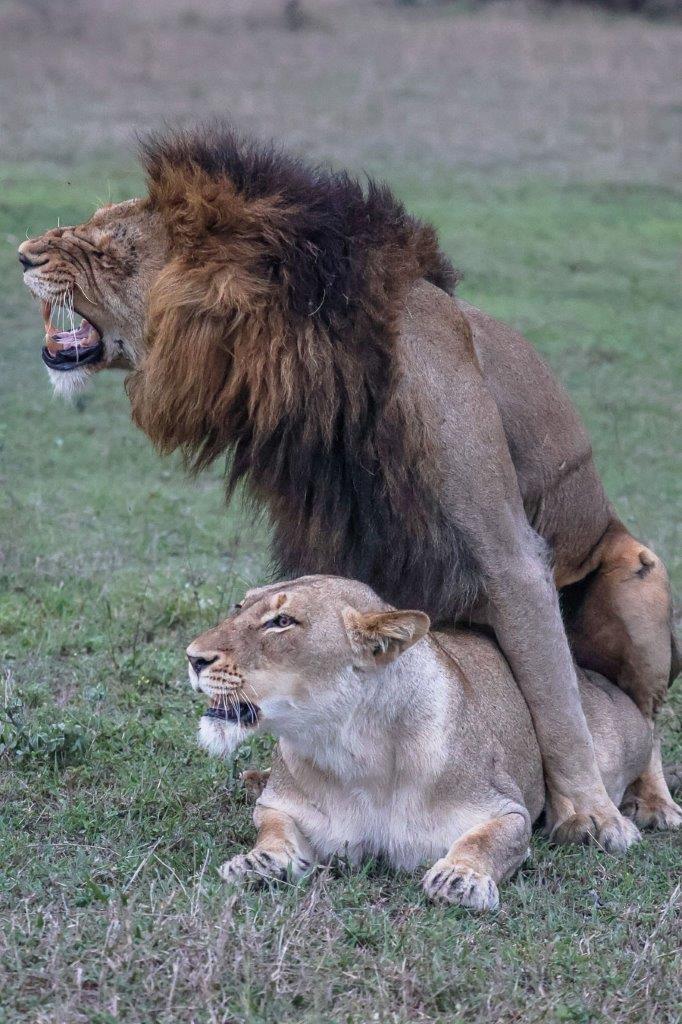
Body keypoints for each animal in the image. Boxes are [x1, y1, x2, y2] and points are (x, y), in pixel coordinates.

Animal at [18, 125, 680, 849]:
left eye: (108, 246)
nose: (22, 254)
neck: (295, 363)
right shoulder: (333, 533)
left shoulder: (510, 553)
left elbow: (557, 699)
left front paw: (589, 813)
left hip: (639, 573)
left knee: (639, 713)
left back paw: (652, 800)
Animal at [186, 575, 656, 911]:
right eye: (239, 607)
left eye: (282, 622)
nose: (192, 657)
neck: (355, 748)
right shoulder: (281, 805)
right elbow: (273, 829)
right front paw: (256, 862)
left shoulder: (507, 808)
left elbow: (484, 840)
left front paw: (460, 879)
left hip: (609, 734)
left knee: (646, 727)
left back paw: (651, 808)